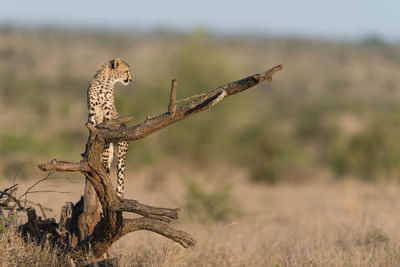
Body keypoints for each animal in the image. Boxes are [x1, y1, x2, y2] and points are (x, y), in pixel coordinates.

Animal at [86, 57, 132, 198]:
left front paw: (104, 162)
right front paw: (90, 150)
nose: (130, 79)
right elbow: (92, 133)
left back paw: (119, 195)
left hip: (121, 154)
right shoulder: (92, 113)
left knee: (121, 181)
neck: (106, 82)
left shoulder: (108, 115)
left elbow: (105, 140)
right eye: (126, 71)